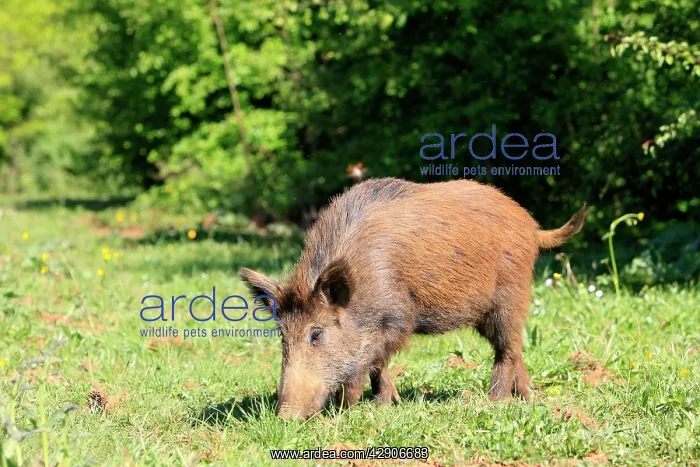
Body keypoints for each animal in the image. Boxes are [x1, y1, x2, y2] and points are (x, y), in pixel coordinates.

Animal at [240, 178, 587, 419]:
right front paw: (386, 403)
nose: (285, 417)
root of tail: (533, 226)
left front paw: (362, 406)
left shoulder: (398, 318)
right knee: (515, 348)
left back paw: (495, 402)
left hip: (509, 297)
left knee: (507, 349)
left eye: (316, 334)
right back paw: (528, 398)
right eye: (282, 336)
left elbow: (374, 360)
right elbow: (377, 363)